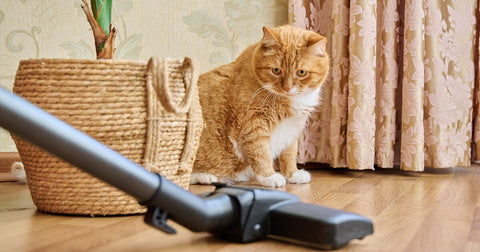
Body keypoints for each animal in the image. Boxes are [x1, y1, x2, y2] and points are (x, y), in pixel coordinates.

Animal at [191, 25, 330, 187]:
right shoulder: (253, 125)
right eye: (276, 70)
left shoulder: (292, 129)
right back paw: (206, 177)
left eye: (301, 72)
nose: (287, 88)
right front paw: (269, 176)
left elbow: (289, 154)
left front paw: (292, 174)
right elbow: (260, 153)